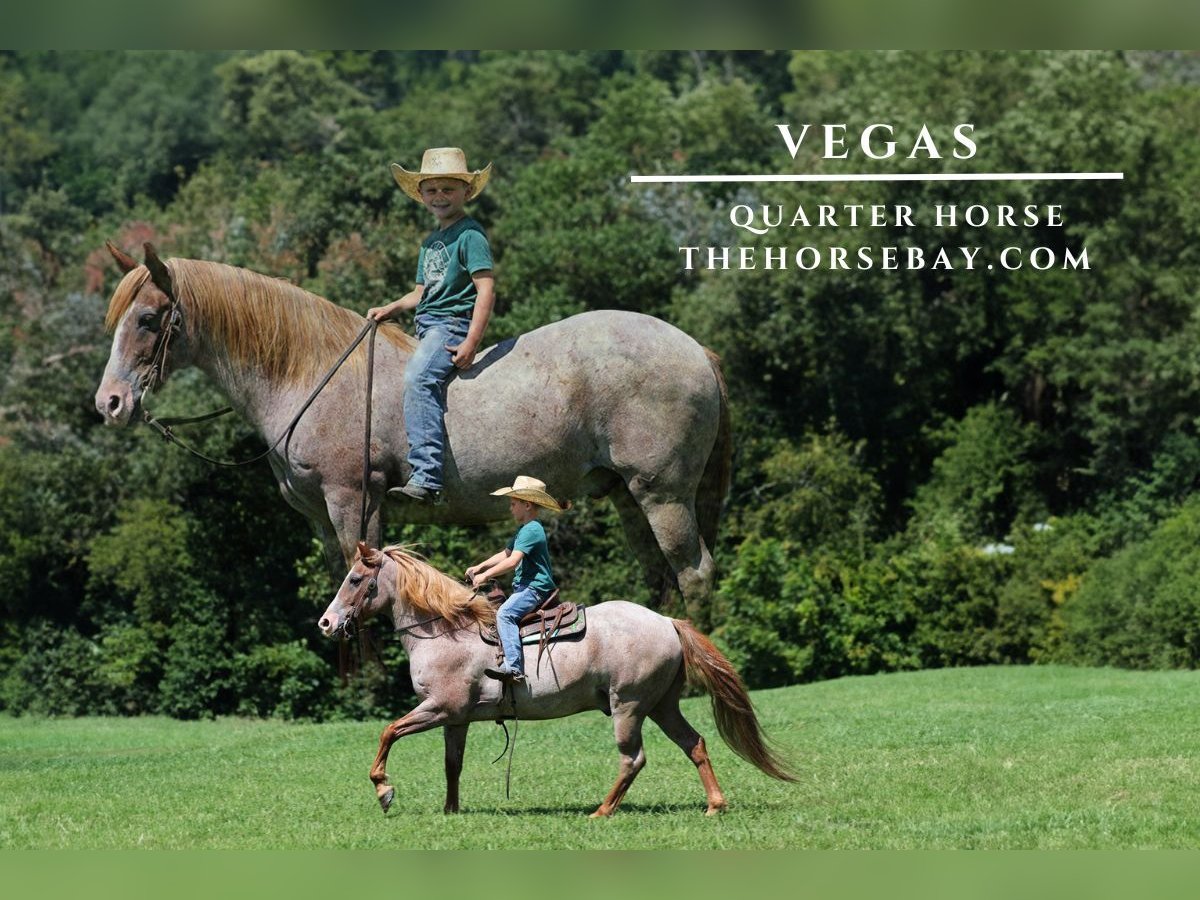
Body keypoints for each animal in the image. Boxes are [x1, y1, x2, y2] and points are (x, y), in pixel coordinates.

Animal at [93, 243, 724, 619]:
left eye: (147, 319)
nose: (110, 402)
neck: (309, 376)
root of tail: (698, 350)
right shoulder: (322, 517)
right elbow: (345, 580)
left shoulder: (353, 500)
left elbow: (365, 576)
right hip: (625, 494)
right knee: (661, 576)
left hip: (663, 494)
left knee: (693, 572)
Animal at [316, 542, 796, 816]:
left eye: (355, 578)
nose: (326, 623)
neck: (445, 630)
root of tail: (667, 621)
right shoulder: (456, 718)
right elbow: (452, 764)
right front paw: (451, 810)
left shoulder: (439, 708)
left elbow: (388, 732)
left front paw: (384, 790)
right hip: (662, 706)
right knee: (694, 744)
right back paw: (715, 806)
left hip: (627, 707)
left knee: (633, 759)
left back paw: (602, 812)